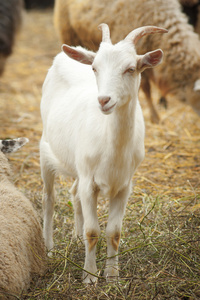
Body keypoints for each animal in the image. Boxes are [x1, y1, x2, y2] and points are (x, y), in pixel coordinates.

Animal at [39, 24, 166, 284]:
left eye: (130, 68)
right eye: (95, 68)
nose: (104, 100)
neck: (113, 148)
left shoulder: (124, 185)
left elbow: (113, 232)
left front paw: (113, 276)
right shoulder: (90, 183)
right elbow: (93, 231)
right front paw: (89, 276)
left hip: (79, 166)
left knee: (73, 192)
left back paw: (75, 238)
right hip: (46, 150)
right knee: (49, 199)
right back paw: (49, 248)